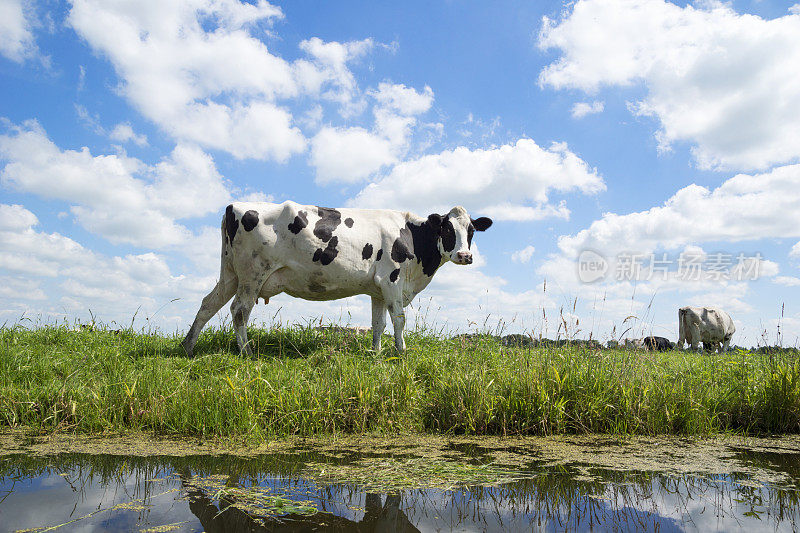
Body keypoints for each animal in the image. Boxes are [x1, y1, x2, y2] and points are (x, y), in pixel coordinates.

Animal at [182, 202, 490, 356]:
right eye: (447, 229)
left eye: (472, 231)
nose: (465, 255)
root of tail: (234, 205)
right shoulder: (392, 279)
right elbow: (399, 319)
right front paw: (402, 353)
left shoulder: (377, 289)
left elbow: (377, 324)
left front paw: (376, 353)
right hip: (253, 273)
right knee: (239, 310)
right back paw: (246, 352)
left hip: (230, 273)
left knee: (208, 304)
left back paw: (187, 346)